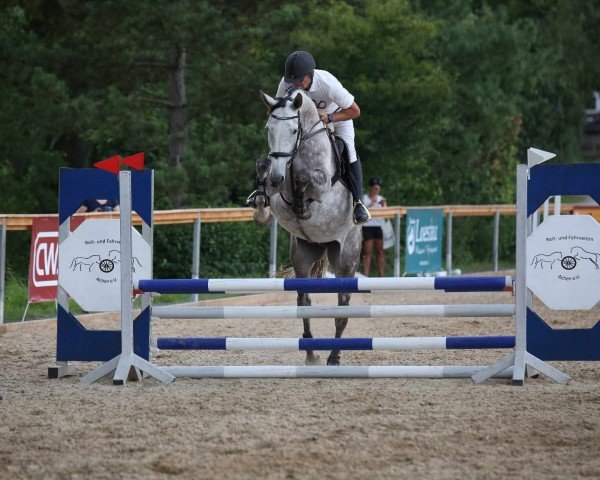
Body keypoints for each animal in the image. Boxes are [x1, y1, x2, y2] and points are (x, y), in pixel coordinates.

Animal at [250, 90, 360, 366]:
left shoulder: (320, 185)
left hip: (345, 258)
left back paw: (334, 356)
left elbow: (304, 178)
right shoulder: (277, 186)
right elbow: (264, 170)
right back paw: (310, 352)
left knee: (343, 306)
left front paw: (302, 205)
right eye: (269, 129)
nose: (278, 177)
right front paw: (260, 208)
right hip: (303, 253)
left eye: (292, 130)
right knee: (304, 299)